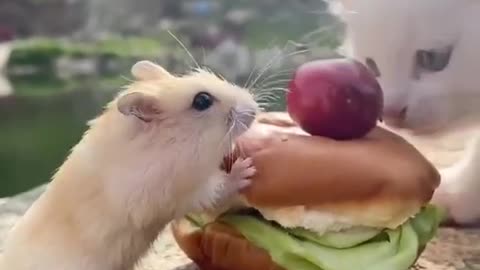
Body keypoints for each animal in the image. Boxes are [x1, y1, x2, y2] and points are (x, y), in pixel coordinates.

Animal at [0, 60, 258, 270]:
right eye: (202, 101)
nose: (255, 109)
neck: (172, 143)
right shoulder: (171, 193)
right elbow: (216, 190)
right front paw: (245, 169)